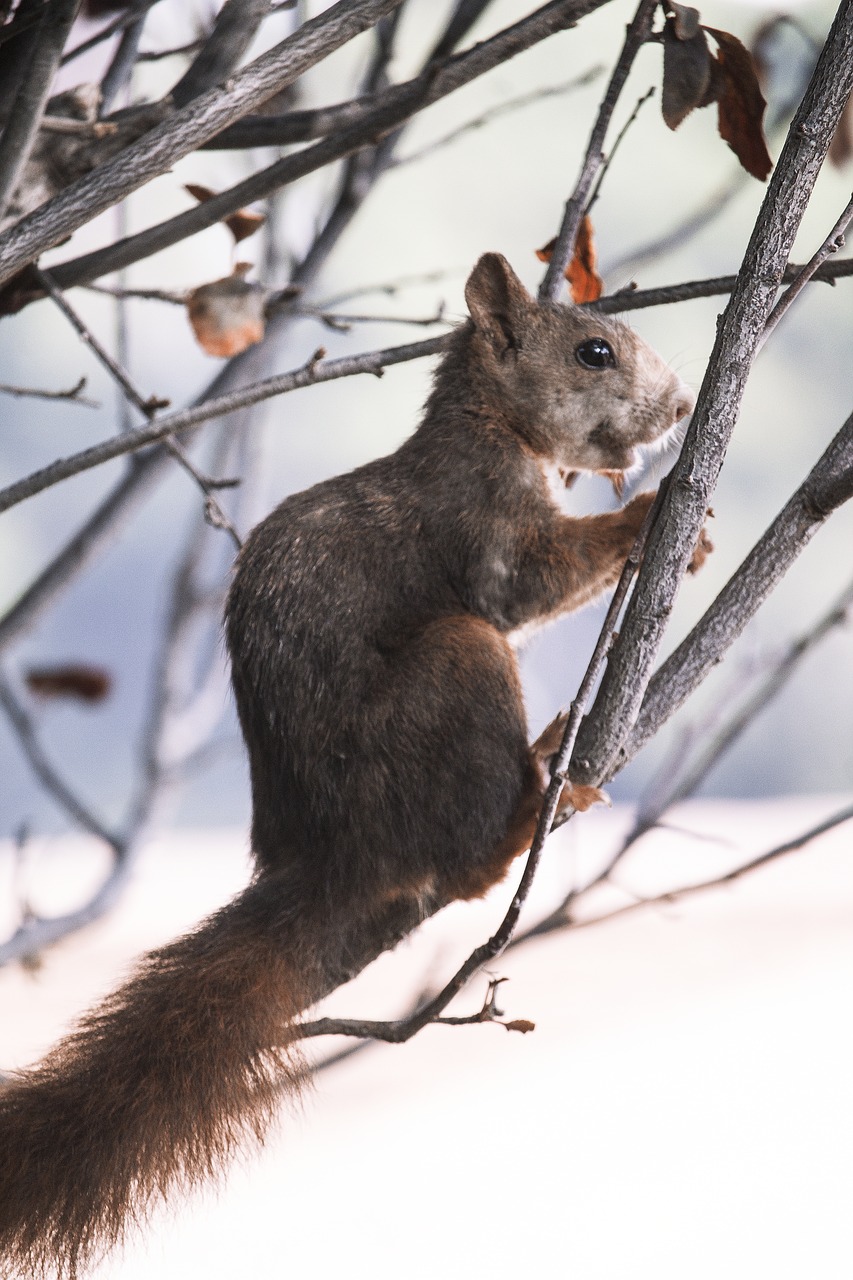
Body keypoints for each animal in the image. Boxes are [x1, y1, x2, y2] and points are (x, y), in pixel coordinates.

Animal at [0, 253, 695, 1279]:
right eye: (593, 352)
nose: (683, 406)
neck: (489, 422)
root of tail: (332, 856)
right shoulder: (478, 516)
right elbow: (525, 584)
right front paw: (656, 515)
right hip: (454, 670)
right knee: (466, 854)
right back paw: (531, 802)